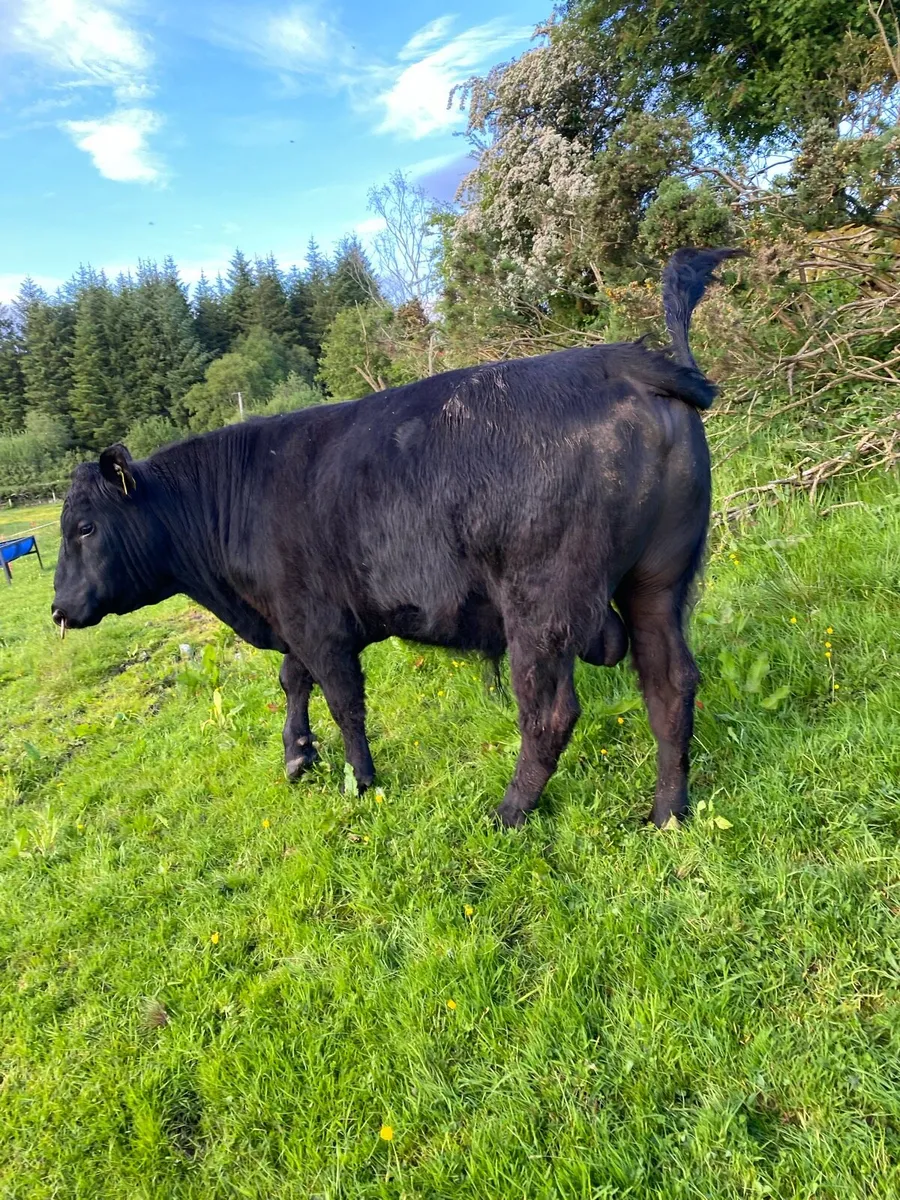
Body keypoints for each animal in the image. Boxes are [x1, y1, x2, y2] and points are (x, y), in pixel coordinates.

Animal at [51, 247, 741, 829]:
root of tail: (618, 361)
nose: (58, 608)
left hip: (541, 604)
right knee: (670, 685)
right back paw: (667, 813)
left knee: (549, 711)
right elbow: (293, 680)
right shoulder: (303, 620)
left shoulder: (318, 624)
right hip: (657, 581)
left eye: (85, 526)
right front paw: (297, 756)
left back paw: (508, 812)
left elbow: (342, 701)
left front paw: (362, 780)